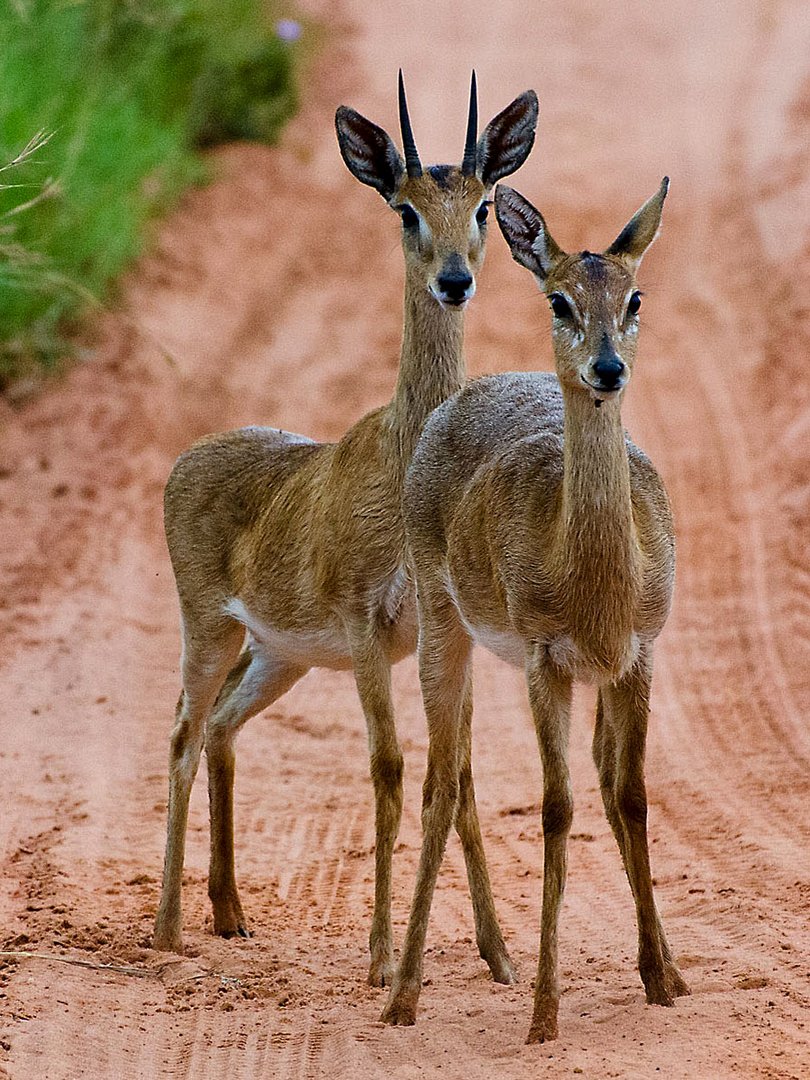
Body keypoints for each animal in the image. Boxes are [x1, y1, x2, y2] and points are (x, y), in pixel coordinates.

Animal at [154, 71, 542, 989]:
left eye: (483, 203)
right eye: (403, 208)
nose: (453, 279)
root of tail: (186, 460)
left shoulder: (447, 632)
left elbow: (460, 775)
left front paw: (500, 956)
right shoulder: (368, 626)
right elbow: (389, 770)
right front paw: (381, 960)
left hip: (279, 653)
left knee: (220, 727)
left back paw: (231, 913)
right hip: (209, 626)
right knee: (181, 732)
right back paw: (167, 930)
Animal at [382, 177, 691, 1036]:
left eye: (633, 295)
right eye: (559, 299)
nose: (607, 368)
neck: (592, 579)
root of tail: (458, 398)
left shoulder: (638, 655)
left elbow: (631, 794)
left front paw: (662, 979)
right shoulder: (544, 661)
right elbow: (555, 807)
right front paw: (546, 1011)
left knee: (589, 777)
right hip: (442, 627)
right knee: (442, 782)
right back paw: (403, 993)